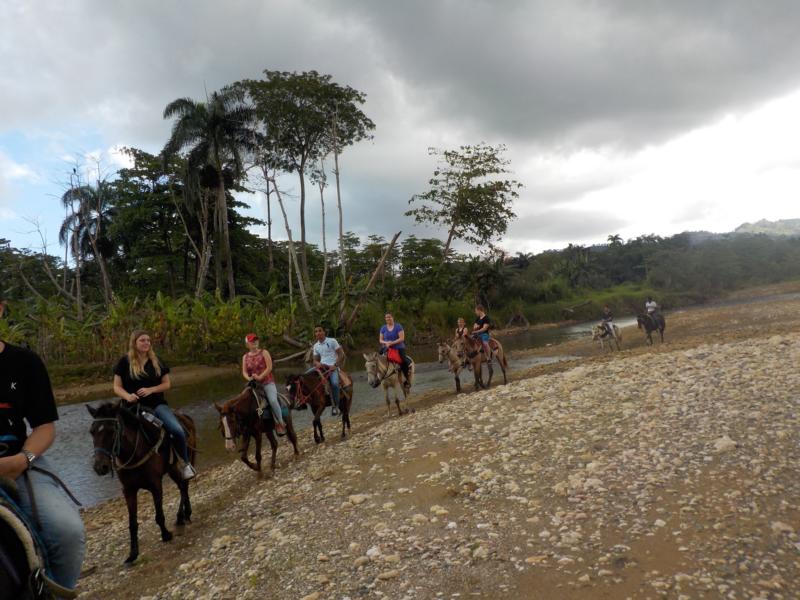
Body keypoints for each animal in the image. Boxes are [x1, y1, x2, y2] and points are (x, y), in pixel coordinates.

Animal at [87, 401, 196, 564]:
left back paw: (182, 515)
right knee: (182, 485)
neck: (134, 451)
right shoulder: (129, 490)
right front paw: (133, 554)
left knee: (184, 484)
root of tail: (186, 417)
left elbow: (159, 515)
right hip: (171, 469)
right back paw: (183, 516)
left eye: (112, 431)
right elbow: (132, 524)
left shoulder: (155, 485)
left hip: (182, 461)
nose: (100, 467)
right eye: (92, 432)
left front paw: (166, 535)